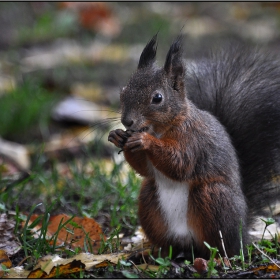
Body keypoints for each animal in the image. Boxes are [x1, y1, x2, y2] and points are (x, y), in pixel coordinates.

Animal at [107, 34, 280, 258]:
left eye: (157, 98)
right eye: (123, 92)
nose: (127, 122)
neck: (161, 128)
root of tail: (242, 234)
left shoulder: (193, 141)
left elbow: (181, 164)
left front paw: (145, 141)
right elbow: (145, 169)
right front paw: (118, 136)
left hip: (213, 198)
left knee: (221, 246)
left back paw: (219, 256)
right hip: (148, 200)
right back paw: (156, 252)